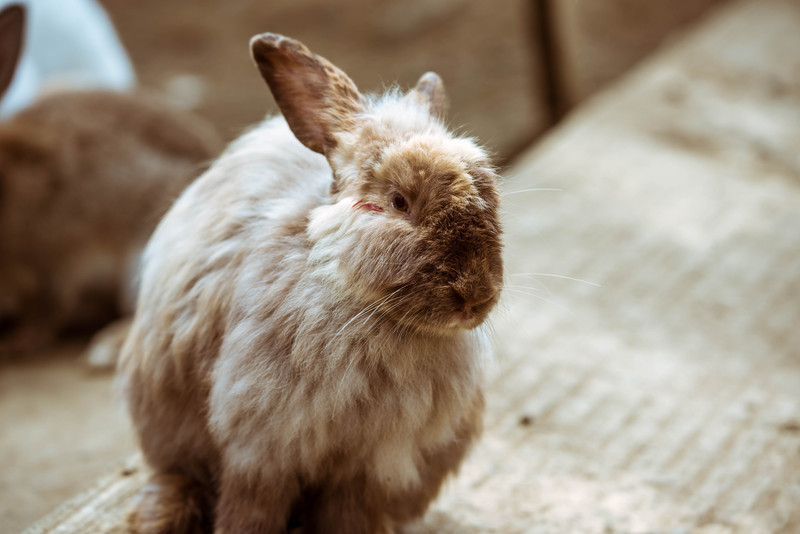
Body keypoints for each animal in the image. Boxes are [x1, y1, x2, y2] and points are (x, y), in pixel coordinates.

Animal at [118, 33, 504, 534]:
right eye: (399, 202)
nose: (475, 296)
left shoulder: (366, 468)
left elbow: (346, 516)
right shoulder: (260, 449)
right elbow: (250, 511)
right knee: (176, 475)